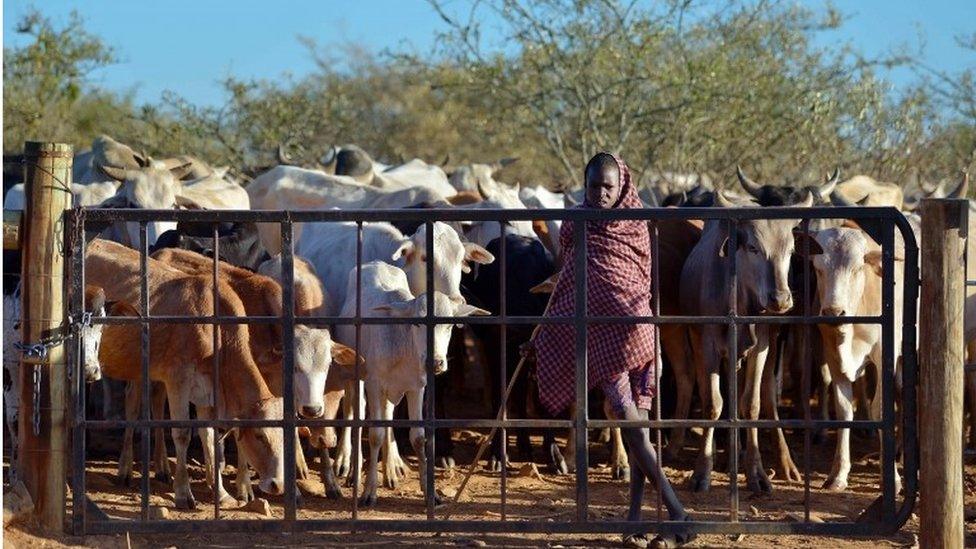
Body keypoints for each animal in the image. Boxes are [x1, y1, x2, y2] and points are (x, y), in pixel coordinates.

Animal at [336, 262, 488, 506]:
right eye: (417, 322)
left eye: (449, 326)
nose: (435, 362)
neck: (404, 345)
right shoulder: (374, 384)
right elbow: (375, 435)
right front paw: (369, 492)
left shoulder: (416, 388)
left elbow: (417, 437)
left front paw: (430, 492)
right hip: (356, 376)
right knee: (355, 410)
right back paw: (351, 471)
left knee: (388, 415)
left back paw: (390, 472)